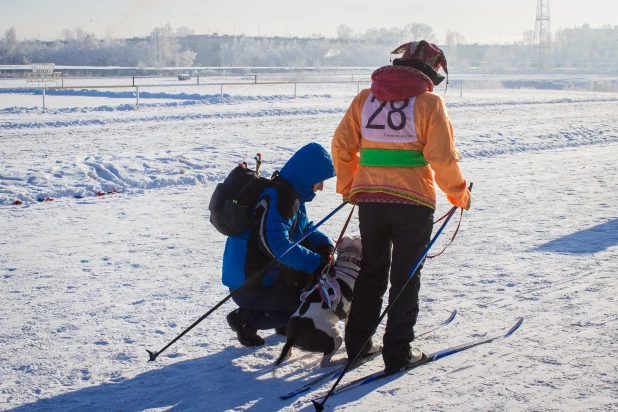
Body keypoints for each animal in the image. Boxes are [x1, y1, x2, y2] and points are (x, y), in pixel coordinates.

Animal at [274, 237, 360, 368]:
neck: (347, 264)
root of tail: (294, 335)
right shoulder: (350, 311)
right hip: (335, 337)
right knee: (324, 362)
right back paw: (338, 361)